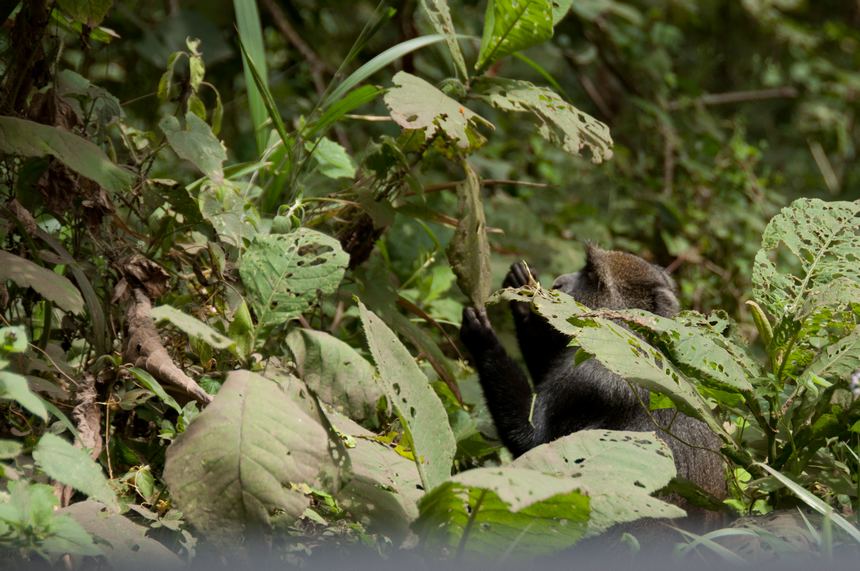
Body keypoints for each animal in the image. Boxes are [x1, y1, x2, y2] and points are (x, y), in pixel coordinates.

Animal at [456, 246, 724, 524]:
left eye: (591, 276)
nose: (559, 282)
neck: (624, 334)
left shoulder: (588, 379)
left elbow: (534, 444)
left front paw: (482, 337)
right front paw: (523, 295)